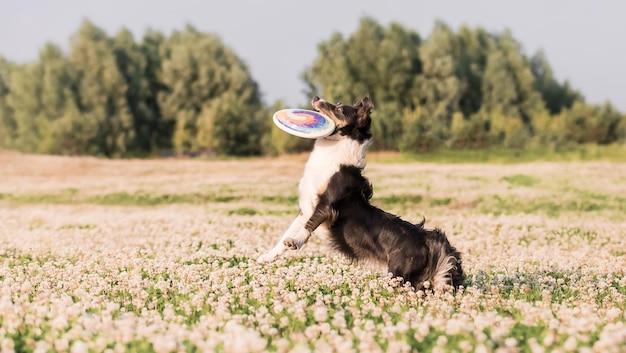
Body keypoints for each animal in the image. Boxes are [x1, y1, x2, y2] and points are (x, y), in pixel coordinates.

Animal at [255, 95, 464, 288]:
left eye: (339, 109)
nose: (316, 97)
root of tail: (432, 243)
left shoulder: (326, 206)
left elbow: (307, 227)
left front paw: (295, 242)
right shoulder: (306, 207)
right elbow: (287, 233)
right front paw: (267, 257)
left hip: (398, 273)